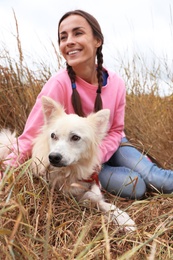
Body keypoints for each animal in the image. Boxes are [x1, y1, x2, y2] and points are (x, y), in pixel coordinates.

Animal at [0, 97, 137, 232]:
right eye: (53, 136)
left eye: (75, 137)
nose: (53, 157)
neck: (67, 172)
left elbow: (103, 202)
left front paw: (123, 218)